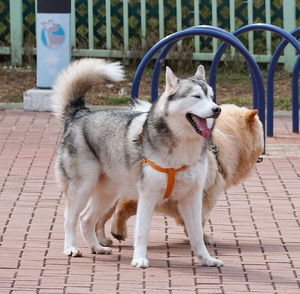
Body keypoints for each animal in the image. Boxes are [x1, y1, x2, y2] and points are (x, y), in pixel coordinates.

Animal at [95, 104, 262, 245]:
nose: (261, 156)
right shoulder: (207, 192)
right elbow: (199, 219)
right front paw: (205, 238)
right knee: (119, 207)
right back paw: (116, 233)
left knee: (99, 218)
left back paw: (103, 241)